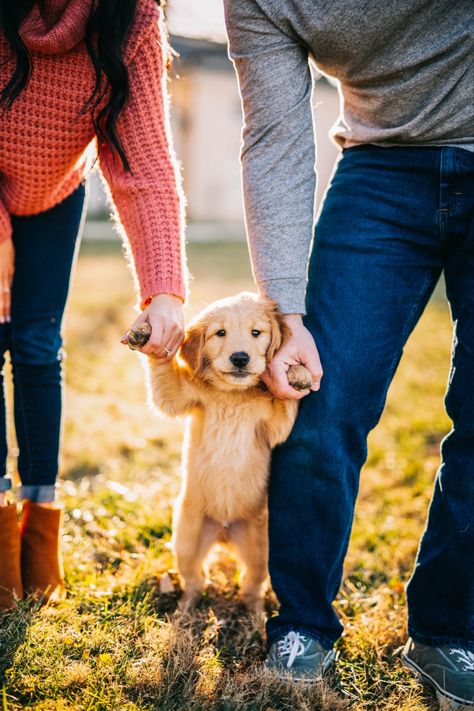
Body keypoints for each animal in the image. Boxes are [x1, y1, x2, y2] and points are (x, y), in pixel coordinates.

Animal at [127, 292, 312, 608]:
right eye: (220, 333)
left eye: (256, 332)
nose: (240, 358)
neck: (233, 395)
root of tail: (224, 531)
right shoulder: (178, 395)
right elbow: (163, 371)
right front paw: (145, 333)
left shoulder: (276, 427)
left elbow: (286, 401)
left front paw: (296, 373)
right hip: (187, 539)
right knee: (195, 580)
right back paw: (186, 609)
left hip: (261, 548)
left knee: (251, 583)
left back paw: (254, 612)